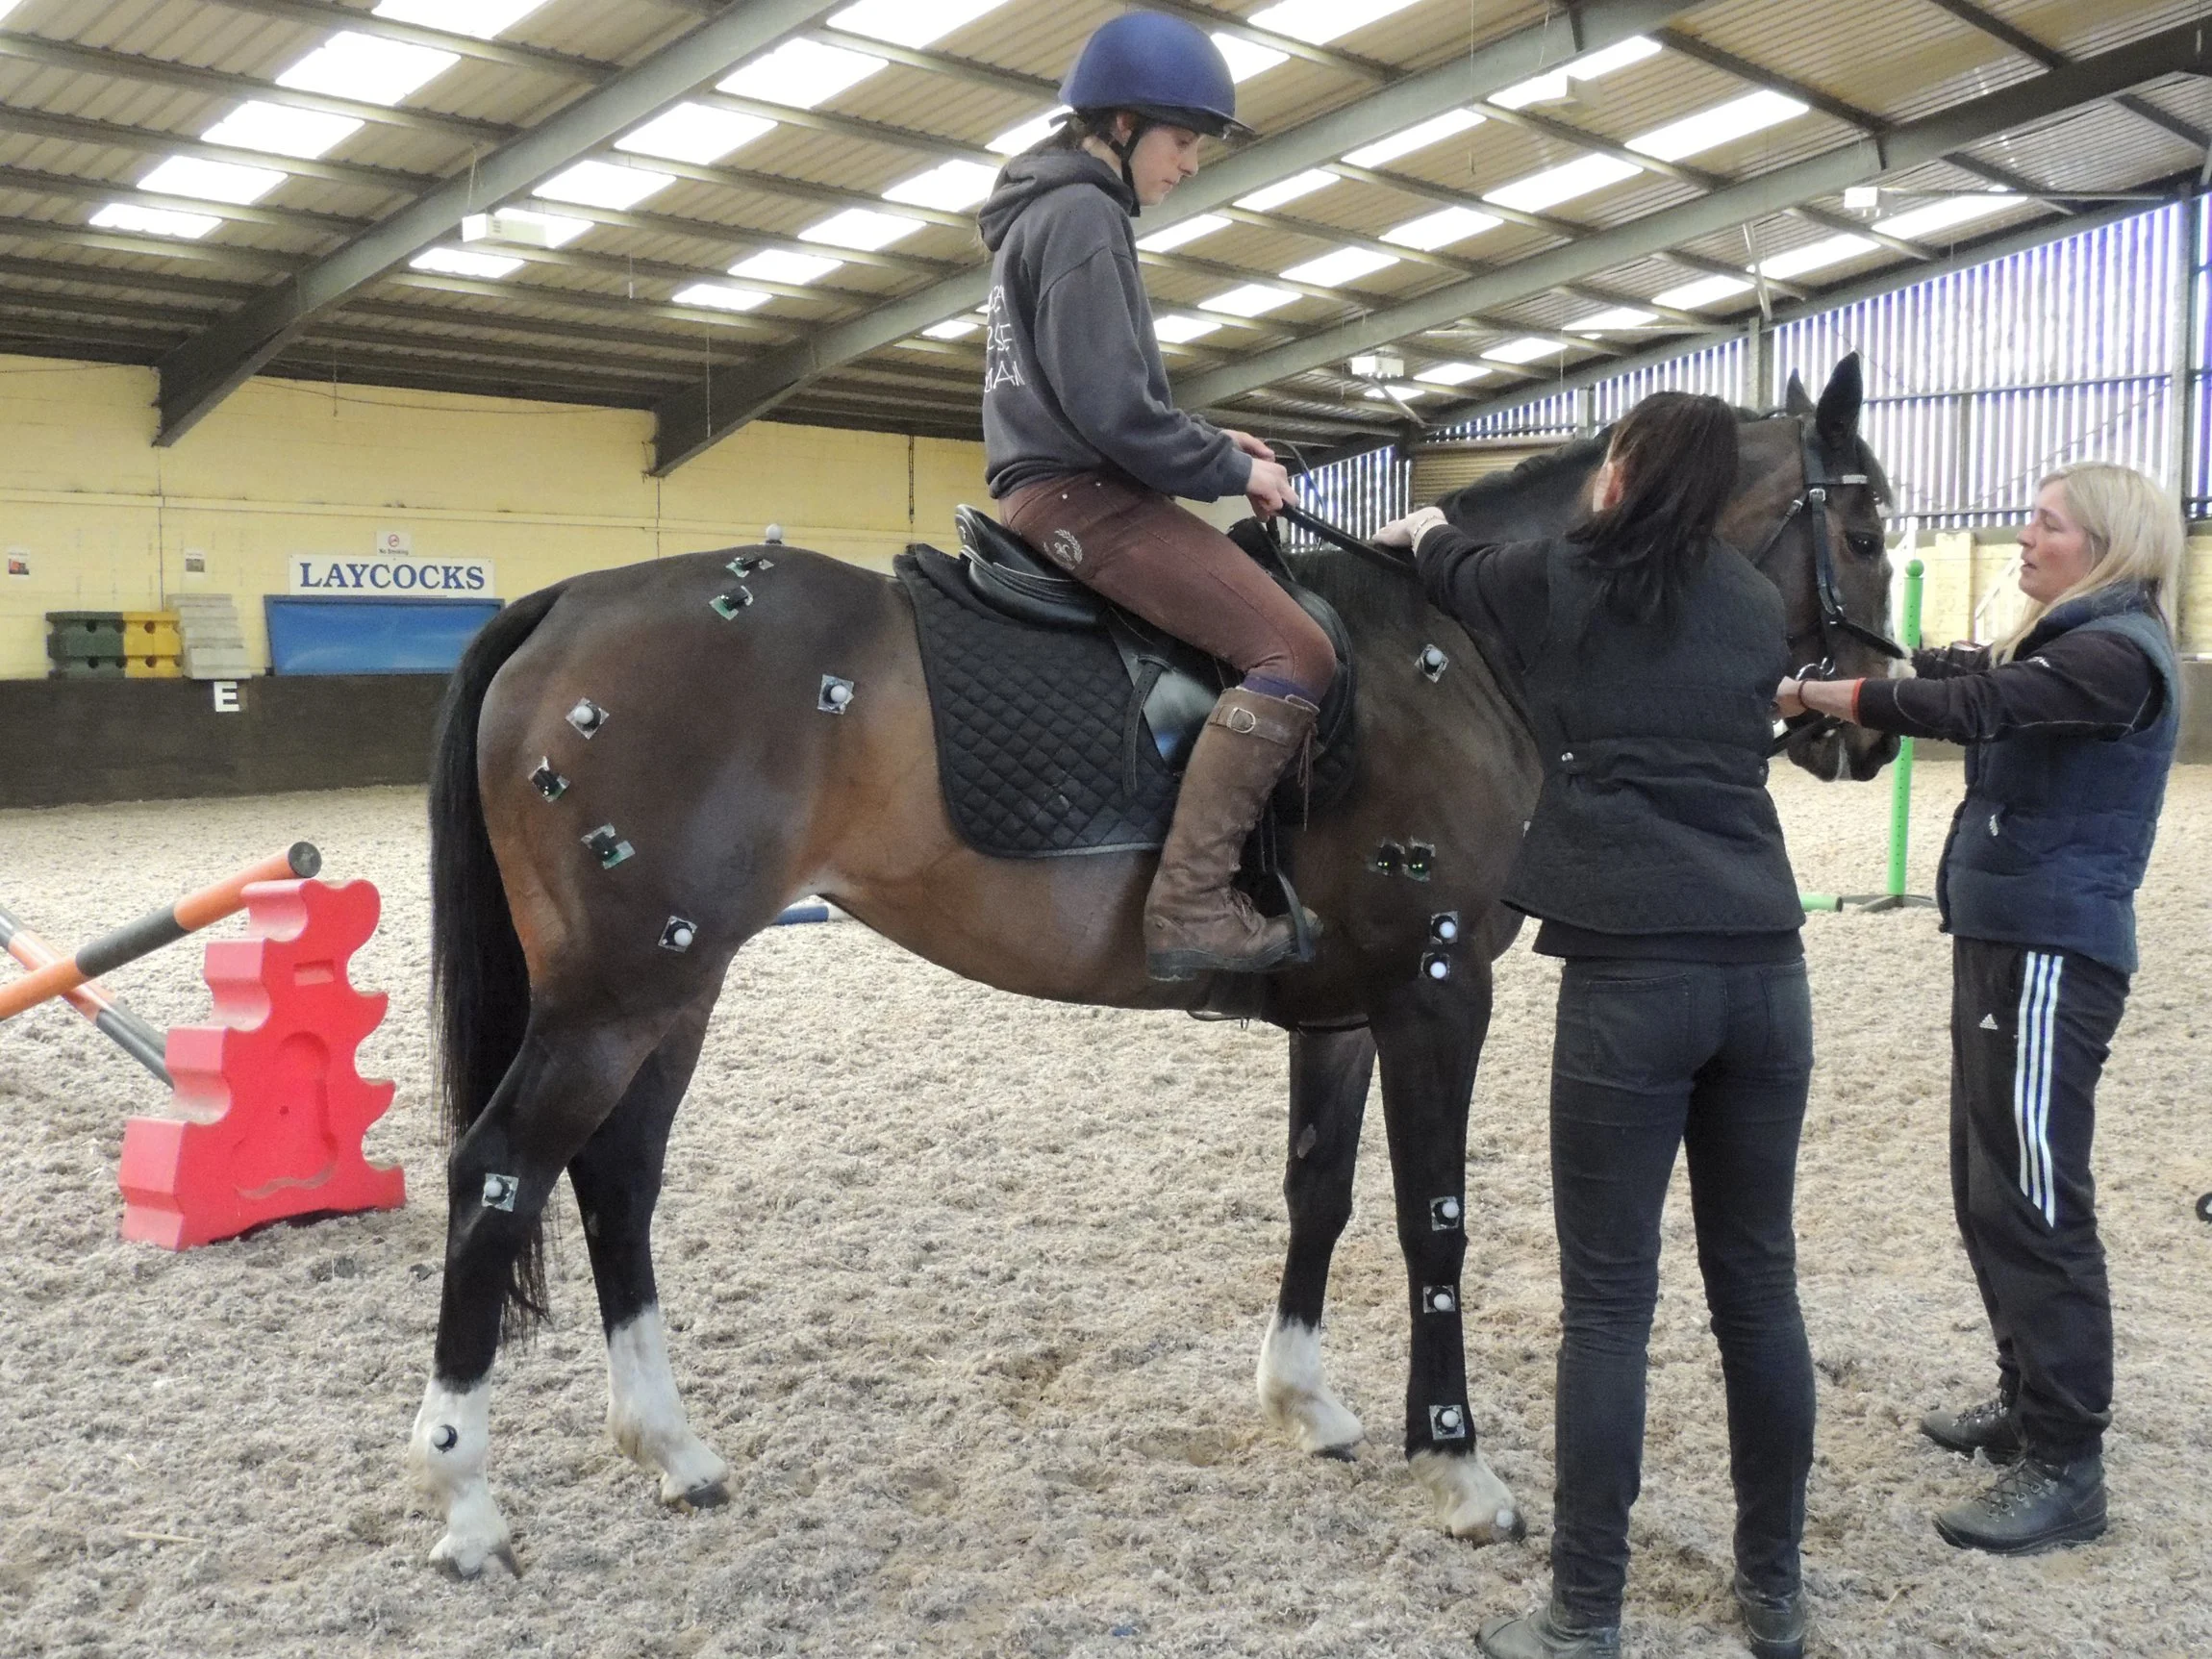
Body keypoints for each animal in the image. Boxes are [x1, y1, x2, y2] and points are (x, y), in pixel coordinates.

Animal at [405, 355, 1900, 1577]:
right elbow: (1432, 1219)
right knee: (498, 1173)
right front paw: (1459, 1463)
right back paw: (466, 1503)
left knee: (614, 1176)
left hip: (677, 985)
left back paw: (669, 1449)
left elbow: (1319, 1192)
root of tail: (566, 604)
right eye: (1869, 526)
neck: (1461, 648)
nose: (1866, 728)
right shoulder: (1436, 989)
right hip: (619, 993)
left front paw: (1306, 1403)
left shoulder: (1343, 1012)